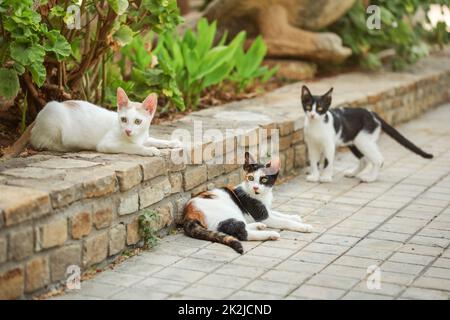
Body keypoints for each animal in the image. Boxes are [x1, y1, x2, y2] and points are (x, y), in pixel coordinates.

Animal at [24, 87, 182, 158]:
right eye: (123, 119)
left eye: (138, 121)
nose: (128, 131)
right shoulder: (106, 144)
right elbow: (131, 147)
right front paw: (148, 150)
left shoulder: (143, 136)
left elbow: (154, 140)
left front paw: (172, 142)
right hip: (55, 124)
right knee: (44, 143)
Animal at [183, 151, 312, 254]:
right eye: (250, 178)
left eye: (264, 179)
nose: (255, 187)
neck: (262, 196)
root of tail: (188, 213)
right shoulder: (263, 215)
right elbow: (284, 221)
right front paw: (303, 226)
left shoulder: (265, 210)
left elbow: (278, 213)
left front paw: (294, 217)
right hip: (227, 211)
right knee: (241, 233)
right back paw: (271, 234)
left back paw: (258, 225)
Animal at [300, 85, 434, 182]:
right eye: (308, 106)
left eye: (320, 109)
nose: (312, 115)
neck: (316, 125)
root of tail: (372, 114)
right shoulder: (312, 145)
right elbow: (314, 162)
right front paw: (314, 176)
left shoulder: (329, 145)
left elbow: (328, 161)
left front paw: (325, 177)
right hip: (354, 142)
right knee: (364, 160)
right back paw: (352, 173)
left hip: (363, 140)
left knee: (379, 160)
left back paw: (370, 178)